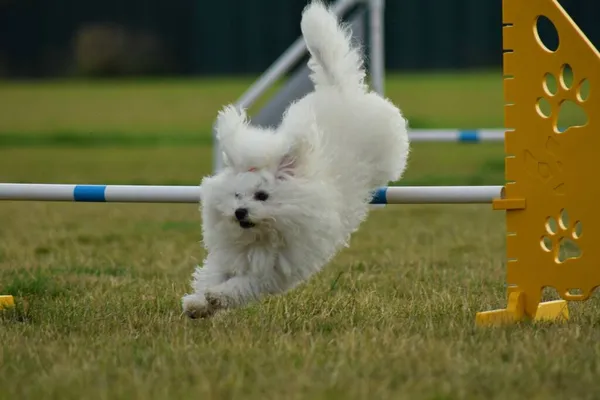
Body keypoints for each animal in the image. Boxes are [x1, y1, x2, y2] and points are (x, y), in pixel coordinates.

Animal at [180, 0, 410, 318]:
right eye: (236, 196)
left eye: (262, 196)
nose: (239, 212)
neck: (263, 235)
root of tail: (338, 89)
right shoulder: (228, 255)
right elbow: (212, 274)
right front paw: (197, 303)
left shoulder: (271, 271)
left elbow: (240, 286)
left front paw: (216, 298)